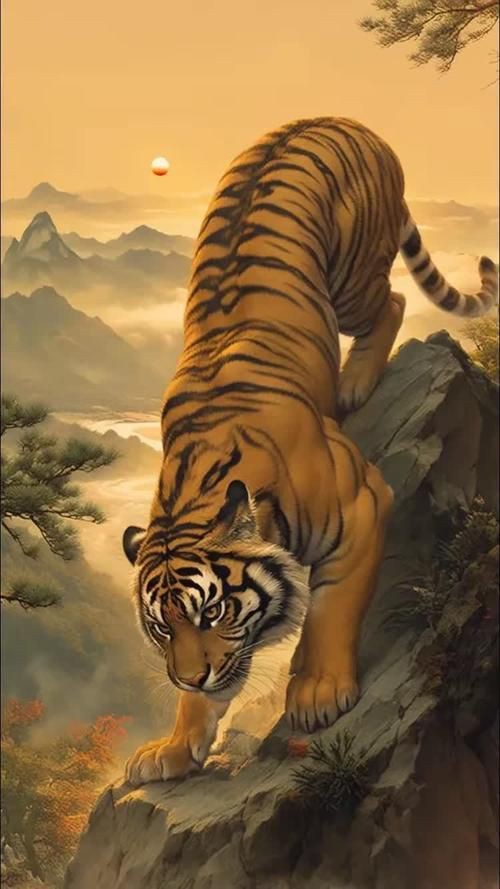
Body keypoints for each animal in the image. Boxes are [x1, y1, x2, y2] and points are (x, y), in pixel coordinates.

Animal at [123, 117, 498, 786]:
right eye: (162, 627)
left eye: (211, 614)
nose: (188, 675)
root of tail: (346, 121)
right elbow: (210, 692)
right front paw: (173, 747)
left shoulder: (362, 503)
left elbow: (331, 606)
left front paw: (319, 695)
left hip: (351, 278)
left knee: (393, 301)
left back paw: (354, 383)